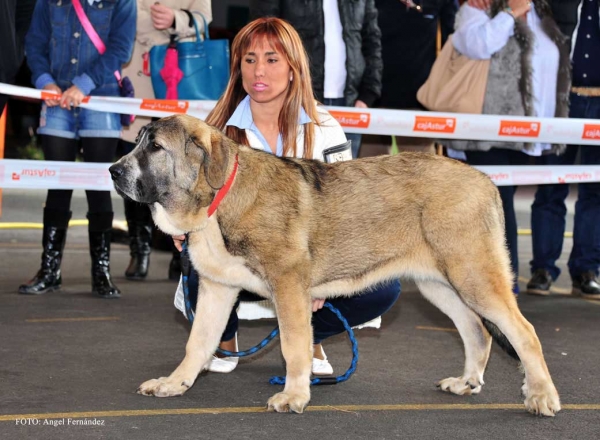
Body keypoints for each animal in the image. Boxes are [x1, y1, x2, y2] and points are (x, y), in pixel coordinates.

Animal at [109, 113, 564, 416]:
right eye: (139, 141)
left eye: (155, 148)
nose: (113, 171)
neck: (218, 199)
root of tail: (486, 181)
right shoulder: (217, 290)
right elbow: (198, 341)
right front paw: (176, 383)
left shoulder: (288, 285)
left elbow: (294, 346)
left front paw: (294, 396)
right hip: (441, 283)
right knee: (476, 331)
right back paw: (467, 383)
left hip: (473, 275)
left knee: (523, 331)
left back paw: (541, 396)